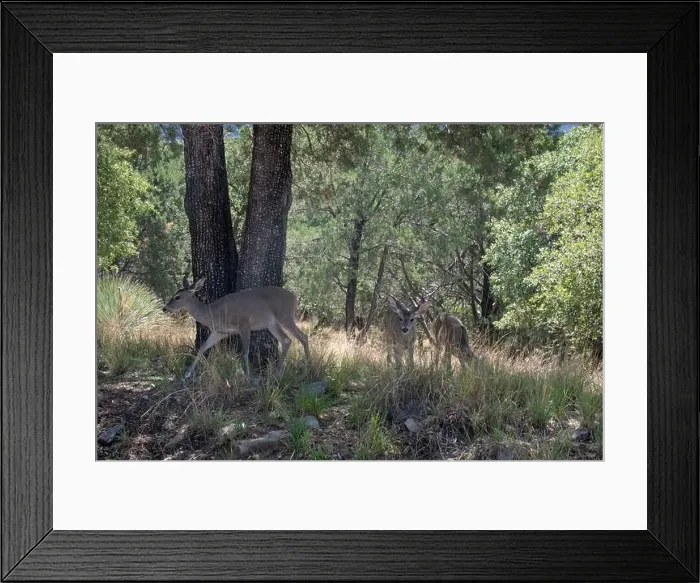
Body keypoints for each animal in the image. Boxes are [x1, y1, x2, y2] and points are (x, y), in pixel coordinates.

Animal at [162, 276, 311, 381]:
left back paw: (306, 367)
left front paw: (247, 375)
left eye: (177, 297)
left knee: (302, 336)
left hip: (285, 316)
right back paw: (278, 373)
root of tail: (294, 297)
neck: (213, 313)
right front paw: (187, 373)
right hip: (271, 323)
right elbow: (202, 347)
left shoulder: (244, 324)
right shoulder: (219, 332)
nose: (164, 308)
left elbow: (245, 351)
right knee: (287, 340)